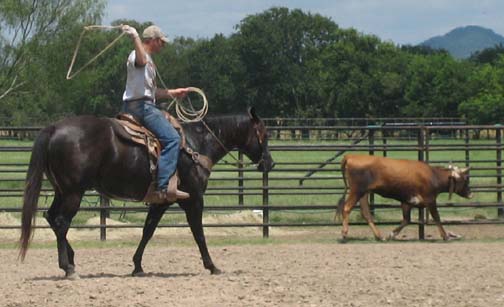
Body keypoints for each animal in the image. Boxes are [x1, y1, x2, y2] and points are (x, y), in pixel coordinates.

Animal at [19, 107, 274, 280]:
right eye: (264, 134)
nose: (270, 163)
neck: (197, 144)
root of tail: (54, 128)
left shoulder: (162, 201)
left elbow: (148, 231)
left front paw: (138, 266)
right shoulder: (193, 199)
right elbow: (199, 233)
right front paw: (212, 266)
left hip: (62, 191)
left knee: (51, 218)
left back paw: (71, 258)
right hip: (74, 192)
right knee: (62, 222)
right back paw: (68, 267)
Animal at [334, 155, 472, 242]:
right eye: (465, 179)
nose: (471, 194)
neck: (433, 176)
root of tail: (351, 156)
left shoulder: (407, 202)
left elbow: (406, 220)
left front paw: (391, 234)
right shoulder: (430, 200)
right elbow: (436, 217)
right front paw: (445, 236)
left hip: (364, 193)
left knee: (366, 214)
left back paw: (380, 237)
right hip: (357, 191)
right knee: (346, 208)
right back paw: (344, 234)